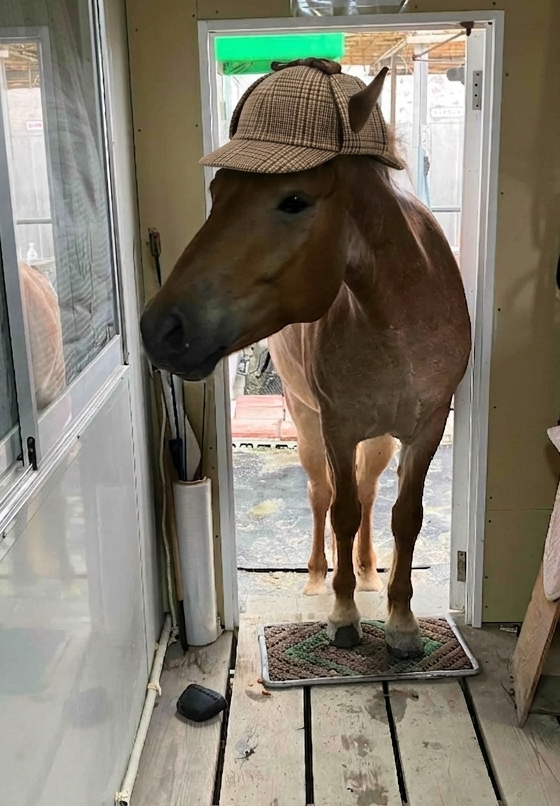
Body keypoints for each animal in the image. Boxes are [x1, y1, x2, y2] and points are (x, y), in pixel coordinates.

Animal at [140, 59, 471, 658]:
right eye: (218, 190)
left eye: (294, 200)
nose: (161, 328)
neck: (397, 323)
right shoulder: (337, 427)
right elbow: (340, 511)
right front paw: (343, 615)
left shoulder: (426, 429)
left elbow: (403, 517)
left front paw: (401, 620)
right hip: (307, 421)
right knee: (324, 496)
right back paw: (322, 576)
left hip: (379, 440)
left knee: (367, 494)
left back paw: (366, 570)